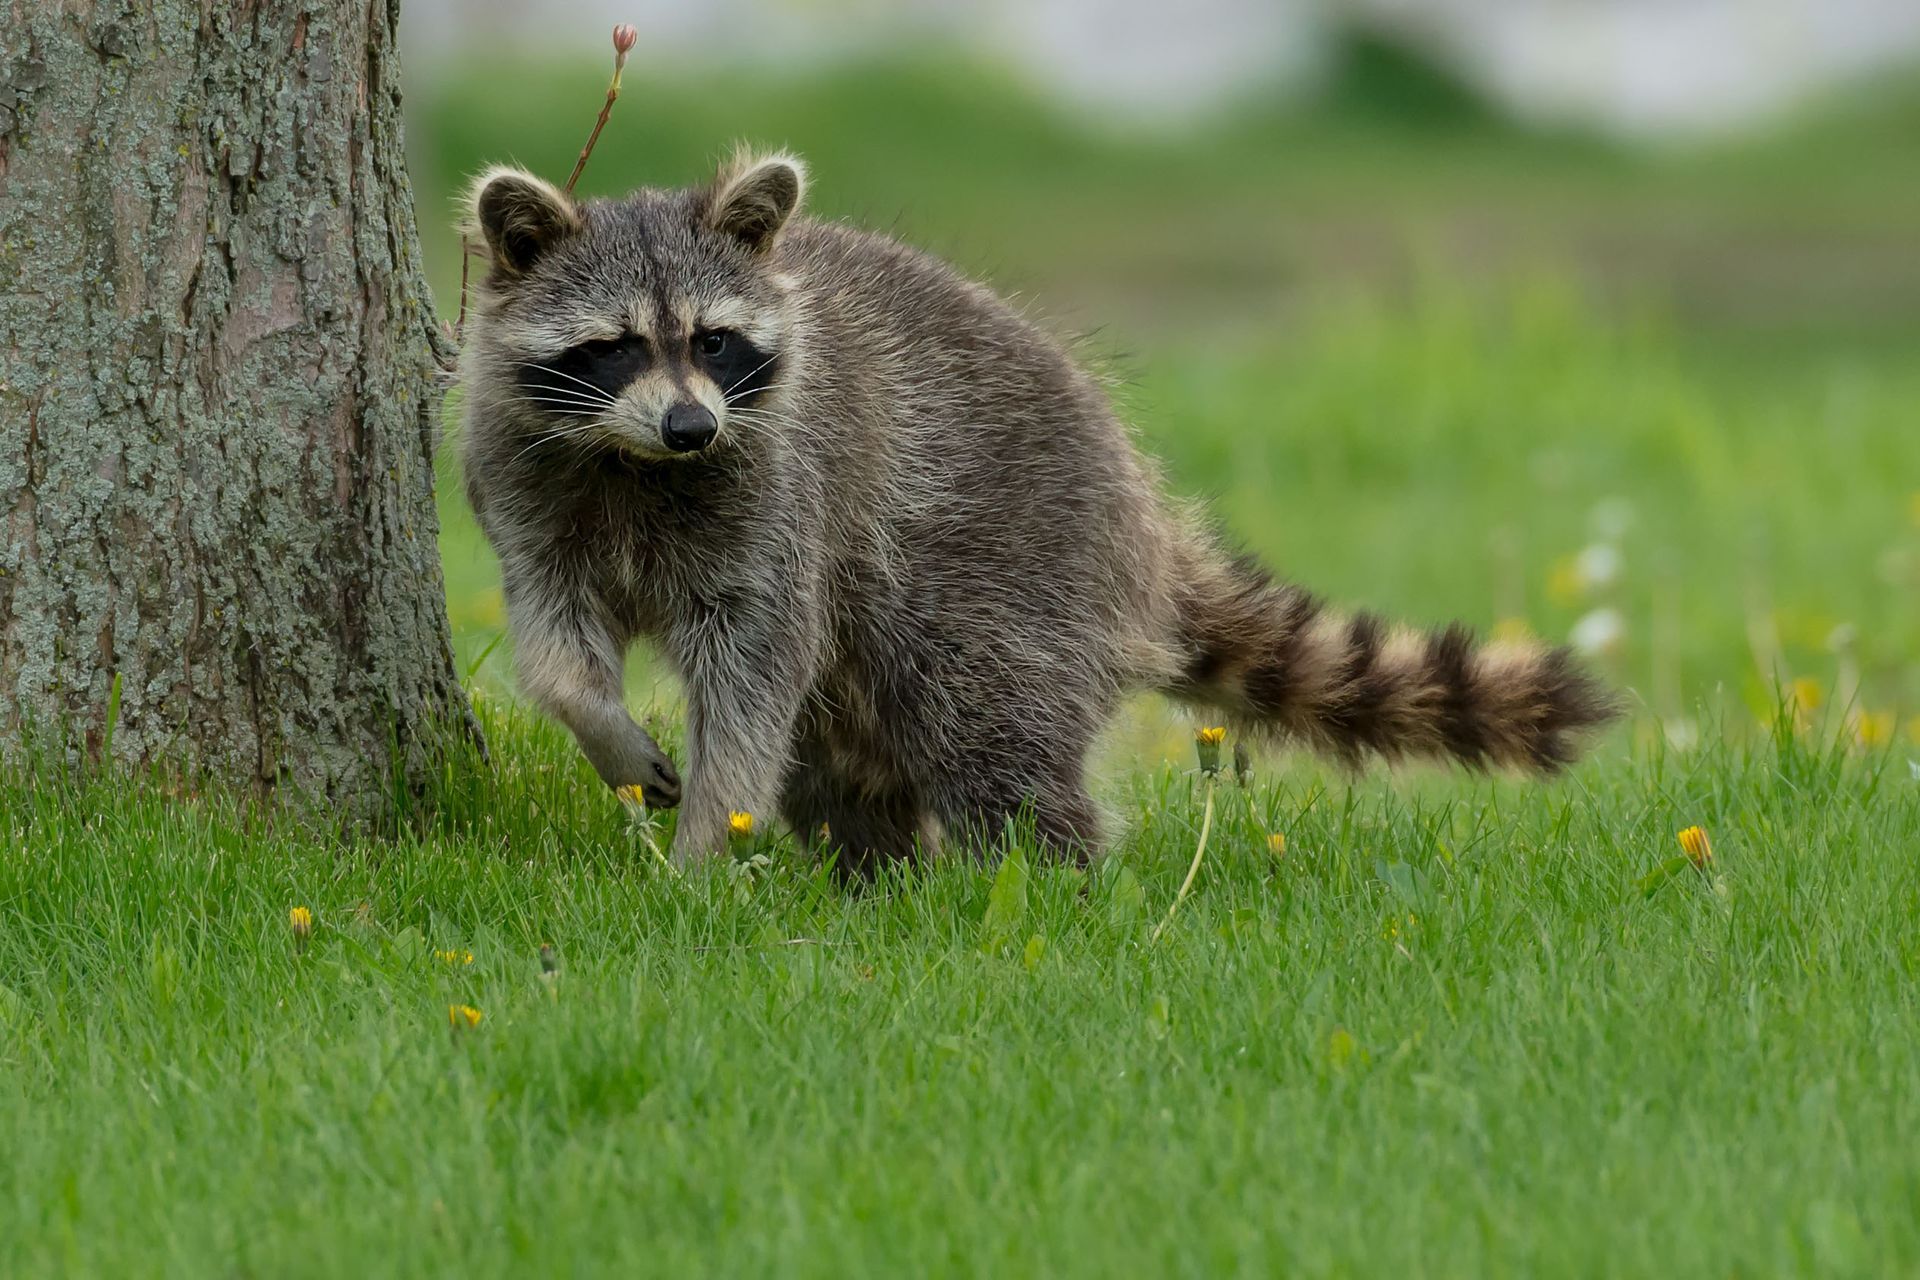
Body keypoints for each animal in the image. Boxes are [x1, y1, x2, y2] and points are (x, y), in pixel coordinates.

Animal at [458, 150, 1618, 870]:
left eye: (713, 339)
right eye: (614, 345)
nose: (693, 427)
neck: (630, 461)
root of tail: (1143, 516)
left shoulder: (780, 497)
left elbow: (755, 675)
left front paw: (706, 846)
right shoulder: (527, 488)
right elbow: (555, 645)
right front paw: (605, 729)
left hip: (1016, 559)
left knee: (988, 730)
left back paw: (1054, 875)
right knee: (842, 763)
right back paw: (872, 873)